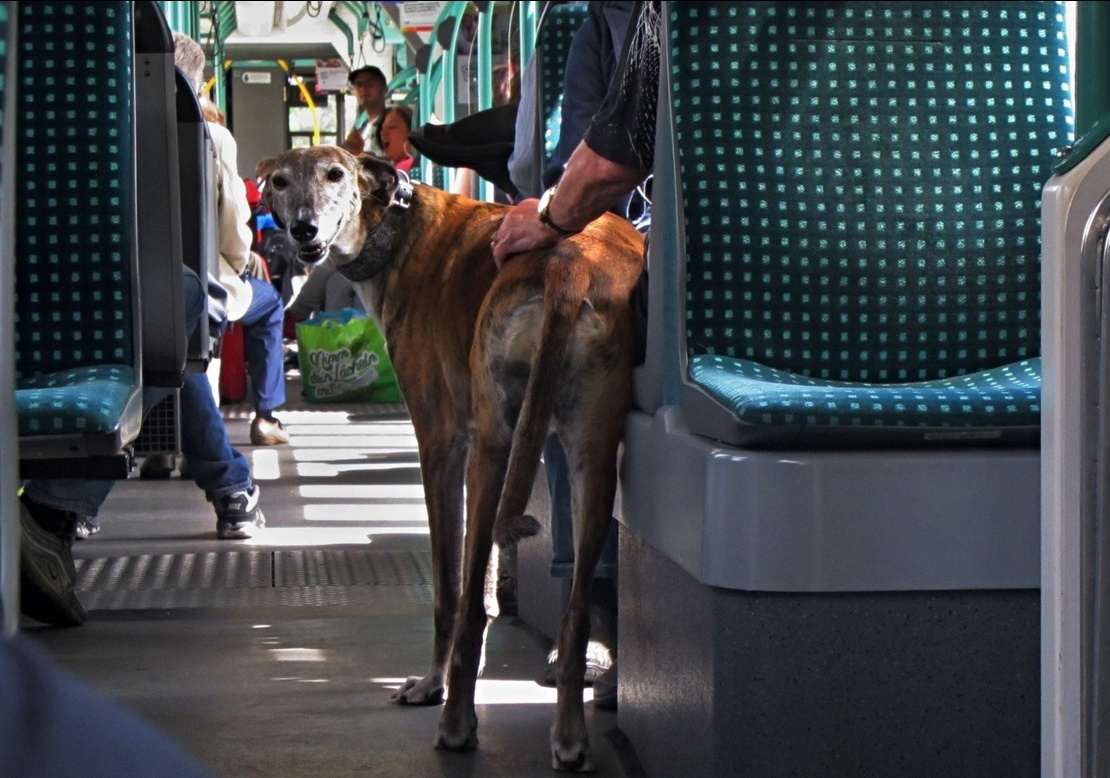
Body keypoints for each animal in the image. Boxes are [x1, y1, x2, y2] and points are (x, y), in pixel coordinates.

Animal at [264, 147, 643, 772]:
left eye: (335, 174)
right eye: (278, 181)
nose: (303, 230)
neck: (396, 229)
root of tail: (571, 260)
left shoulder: (444, 445)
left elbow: (452, 591)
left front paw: (432, 684)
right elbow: (480, 589)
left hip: (494, 445)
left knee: (467, 610)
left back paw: (457, 722)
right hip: (588, 453)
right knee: (575, 611)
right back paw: (569, 735)